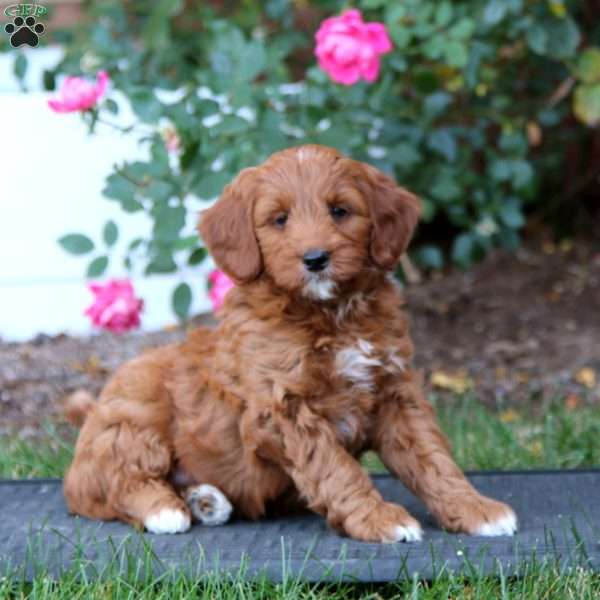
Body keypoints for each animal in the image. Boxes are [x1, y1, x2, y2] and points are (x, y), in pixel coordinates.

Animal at [64, 144, 516, 540]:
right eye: (279, 219)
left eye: (340, 210)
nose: (315, 259)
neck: (331, 314)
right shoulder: (281, 410)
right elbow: (335, 468)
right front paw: (379, 520)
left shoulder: (396, 393)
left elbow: (433, 459)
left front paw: (476, 509)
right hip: (134, 413)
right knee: (110, 483)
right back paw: (166, 510)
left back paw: (206, 500)